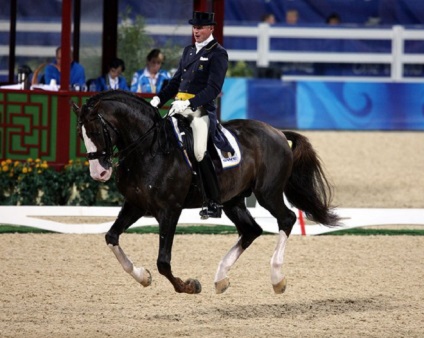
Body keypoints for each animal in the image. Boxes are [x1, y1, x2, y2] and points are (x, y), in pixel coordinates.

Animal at [73, 91, 342, 294]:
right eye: (81, 134)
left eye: (95, 131)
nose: (99, 173)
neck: (149, 149)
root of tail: (276, 131)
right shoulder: (135, 204)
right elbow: (111, 237)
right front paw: (143, 277)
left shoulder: (169, 210)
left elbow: (163, 262)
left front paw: (188, 286)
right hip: (233, 200)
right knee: (251, 230)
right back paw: (221, 279)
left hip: (268, 193)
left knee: (286, 219)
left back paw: (277, 279)